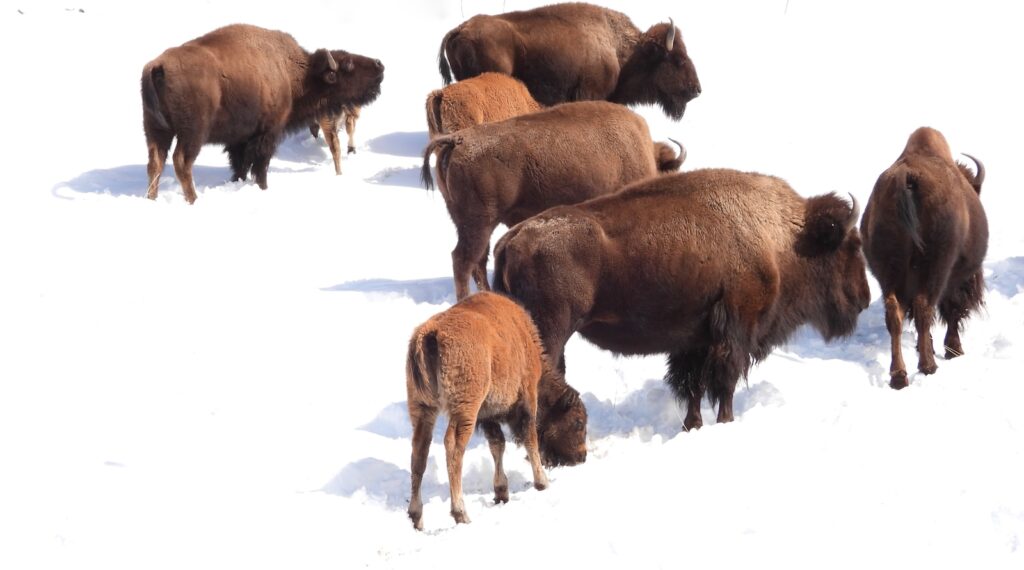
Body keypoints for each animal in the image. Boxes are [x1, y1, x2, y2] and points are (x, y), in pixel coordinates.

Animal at [142, 24, 383, 203]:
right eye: (348, 65)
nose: (379, 64)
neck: (295, 72)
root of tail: (158, 67)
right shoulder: (268, 132)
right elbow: (261, 164)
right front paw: (263, 188)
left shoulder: (239, 139)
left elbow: (240, 165)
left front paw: (238, 182)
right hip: (192, 133)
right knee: (181, 162)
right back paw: (193, 200)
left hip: (155, 130)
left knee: (155, 163)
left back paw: (152, 198)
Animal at [406, 292, 588, 529]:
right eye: (578, 422)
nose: (582, 456)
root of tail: (431, 333)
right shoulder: (527, 396)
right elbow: (530, 438)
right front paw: (542, 482)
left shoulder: (487, 414)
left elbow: (497, 445)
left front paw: (501, 492)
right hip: (465, 409)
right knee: (453, 447)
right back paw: (461, 513)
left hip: (423, 408)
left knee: (419, 452)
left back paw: (416, 517)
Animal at [493, 169, 872, 431]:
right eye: (850, 246)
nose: (864, 299)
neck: (783, 238)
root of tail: (512, 240)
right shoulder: (734, 330)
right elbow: (724, 381)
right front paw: (725, 422)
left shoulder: (695, 340)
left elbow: (693, 385)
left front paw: (693, 425)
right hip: (552, 332)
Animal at [860, 127, 988, 388]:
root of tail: (908, 178)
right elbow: (951, 311)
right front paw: (953, 350)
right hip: (935, 269)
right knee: (924, 308)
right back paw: (928, 366)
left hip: (888, 273)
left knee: (895, 314)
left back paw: (899, 375)